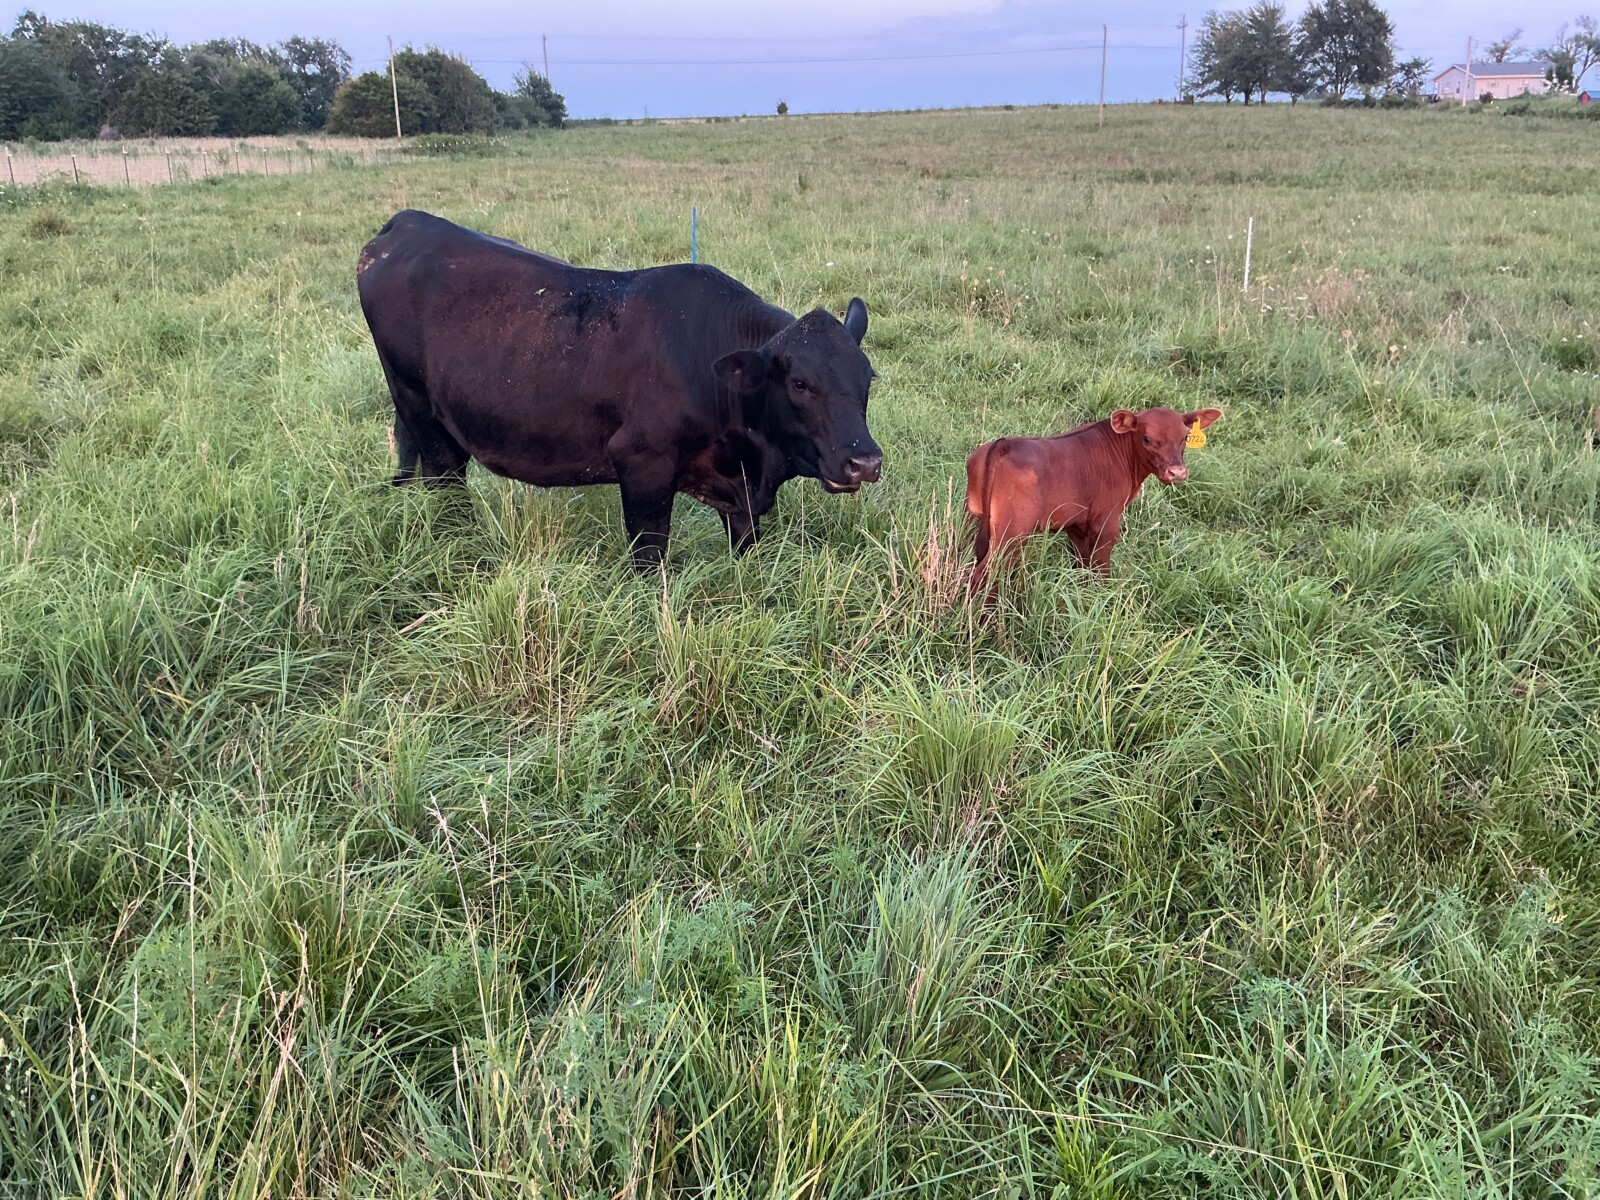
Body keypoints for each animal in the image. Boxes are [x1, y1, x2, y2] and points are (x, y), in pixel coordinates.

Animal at [355, 209, 883, 570]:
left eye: (868, 378)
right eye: (800, 383)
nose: (864, 461)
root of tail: (409, 222)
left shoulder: (741, 499)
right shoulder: (642, 464)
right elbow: (650, 557)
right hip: (422, 410)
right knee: (444, 483)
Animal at [965, 405, 1222, 594]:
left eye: (1185, 437)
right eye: (1147, 439)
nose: (1177, 472)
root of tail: (1005, 444)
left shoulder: (1076, 524)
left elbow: (1081, 565)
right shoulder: (1107, 523)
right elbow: (1101, 569)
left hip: (975, 516)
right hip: (1012, 534)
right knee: (986, 573)